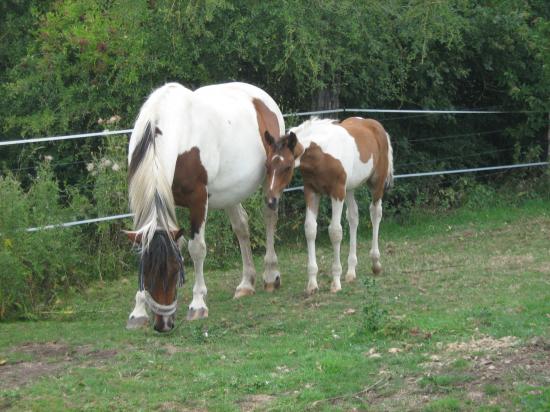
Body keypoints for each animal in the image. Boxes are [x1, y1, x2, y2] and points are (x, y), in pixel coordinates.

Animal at [124, 83, 284, 332]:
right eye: (146, 273)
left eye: (174, 270)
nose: (164, 324)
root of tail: (263, 98)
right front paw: (138, 310)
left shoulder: (198, 199)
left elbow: (196, 248)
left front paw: (198, 304)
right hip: (231, 192)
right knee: (241, 226)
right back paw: (246, 284)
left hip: (271, 180)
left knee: (269, 218)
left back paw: (270, 275)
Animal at [266, 117, 394, 294]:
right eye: (267, 166)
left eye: (287, 167)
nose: (271, 201)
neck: (321, 155)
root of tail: (376, 125)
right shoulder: (311, 191)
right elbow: (310, 229)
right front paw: (312, 284)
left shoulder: (337, 192)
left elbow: (335, 231)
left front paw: (335, 281)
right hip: (350, 188)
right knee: (353, 217)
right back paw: (351, 272)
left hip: (377, 183)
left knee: (375, 213)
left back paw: (375, 263)